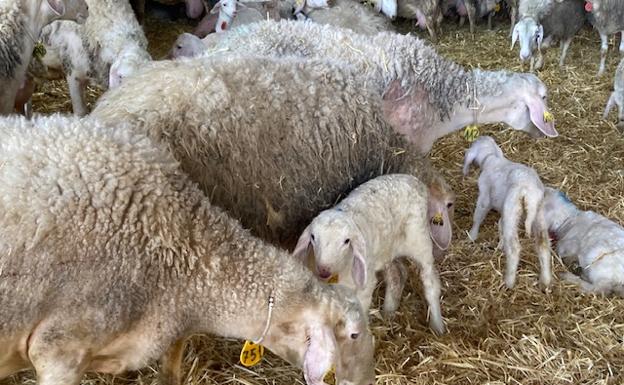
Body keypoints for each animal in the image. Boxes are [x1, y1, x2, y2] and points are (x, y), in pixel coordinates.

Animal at [292, 173, 444, 332]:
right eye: (313, 237)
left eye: (347, 241)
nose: (323, 270)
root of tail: (414, 179)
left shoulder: (365, 288)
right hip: (386, 249)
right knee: (397, 274)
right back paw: (388, 312)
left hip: (420, 241)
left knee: (430, 282)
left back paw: (437, 325)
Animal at [464, 135, 552, 288]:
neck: (491, 158)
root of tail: (528, 193)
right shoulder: (503, 211)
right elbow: (500, 224)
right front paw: (500, 245)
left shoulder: (484, 196)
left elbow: (478, 216)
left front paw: (472, 235)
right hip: (538, 214)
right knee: (543, 244)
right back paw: (545, 280)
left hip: (513, 208)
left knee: (514, 248)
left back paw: (509, 281)